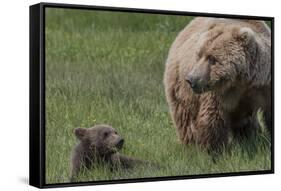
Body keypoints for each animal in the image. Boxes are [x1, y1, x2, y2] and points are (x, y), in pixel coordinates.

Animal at [163, 17, 270, 152]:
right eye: (199, 55)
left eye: (212, 59)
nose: (191, 79)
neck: (240, 81)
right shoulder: (217, 93)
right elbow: (212, 117)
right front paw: (214, 150)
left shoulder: (263, 85)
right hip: (179, 86)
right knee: (185, 117)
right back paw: (190, 144)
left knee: (245, 121)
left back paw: (250, 137)